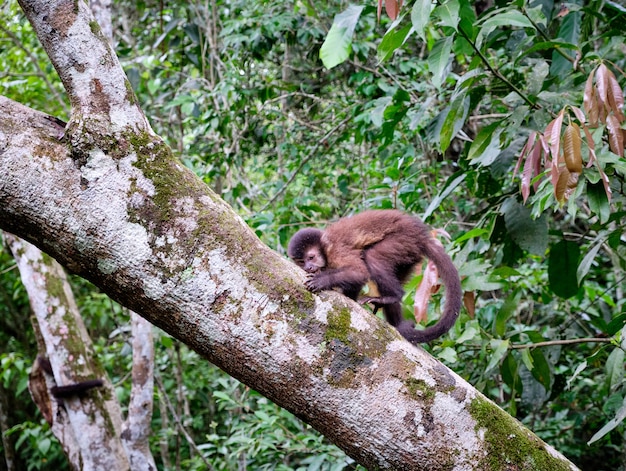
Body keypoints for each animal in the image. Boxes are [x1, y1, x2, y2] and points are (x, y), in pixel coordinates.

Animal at [286, 210, 458, 342]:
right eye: (301, 261)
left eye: (311, 257)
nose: (308, 267)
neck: (325, 249)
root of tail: (421, 236)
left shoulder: (336, 251)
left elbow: (359, 272)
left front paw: (322, 280)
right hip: (409, 256)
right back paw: (398, 324)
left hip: (404, 240)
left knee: (373, 257)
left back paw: (393, 296)